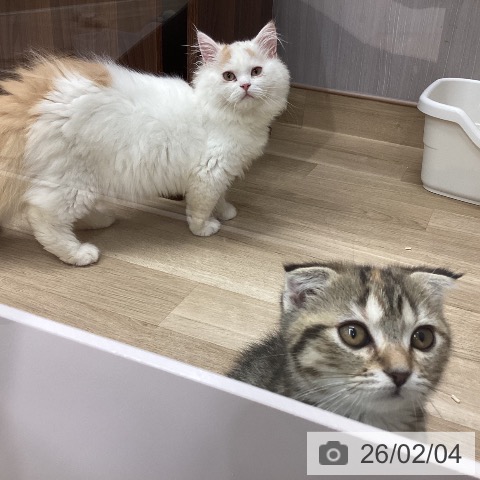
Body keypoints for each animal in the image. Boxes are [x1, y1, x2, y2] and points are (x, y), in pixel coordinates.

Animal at [0, 21, 290, 265]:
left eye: (256, 72)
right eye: (229, 77)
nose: (245, 86)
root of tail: (37, 94)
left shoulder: (221, 173)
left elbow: (220, 197)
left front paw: (225, 211)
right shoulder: (208, 173)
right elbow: (202, 206)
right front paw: (204, 227)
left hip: (84, 178)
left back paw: (100, 220)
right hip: (73, 181)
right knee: (42, 216)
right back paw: (79, 253)